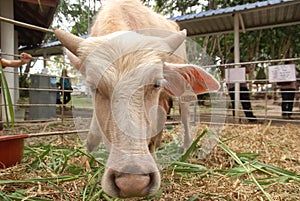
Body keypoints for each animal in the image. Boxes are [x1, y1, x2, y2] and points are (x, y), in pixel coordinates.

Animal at [54, 0, 218, 198]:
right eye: (93, 86)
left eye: (156, 83)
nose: (132, 183)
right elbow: (92, 136)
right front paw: (86, 163)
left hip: (183, 95)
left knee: (184, 118)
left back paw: (184, 149)